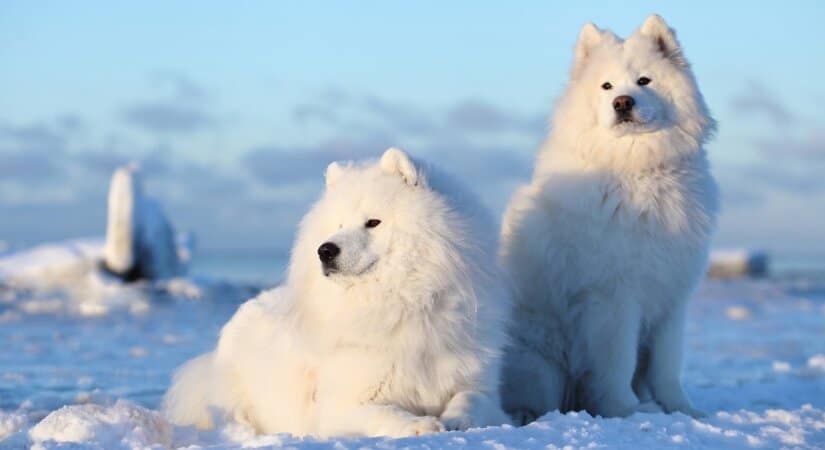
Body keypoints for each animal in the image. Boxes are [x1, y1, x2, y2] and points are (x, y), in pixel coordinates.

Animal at [163, 149, 508, 438]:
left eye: (373, 222)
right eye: (338, 224)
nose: (325, 250)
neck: (404, 302)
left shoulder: (478, 383)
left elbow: (472, 399)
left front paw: (457, 419)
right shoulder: (340, 406)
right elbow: (386, 413)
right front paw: (421, 425)